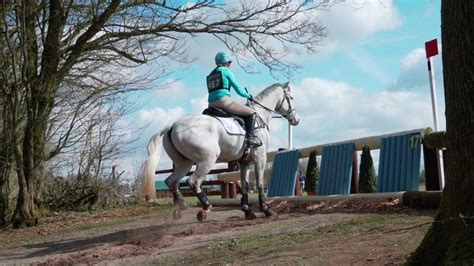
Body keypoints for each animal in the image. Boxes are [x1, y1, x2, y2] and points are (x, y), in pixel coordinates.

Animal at [139, 82, 300, 221]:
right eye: (291, 98)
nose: (296, 120)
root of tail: (173, 125)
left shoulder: (245, 162)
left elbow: (245, 185)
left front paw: (248, 211)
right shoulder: (260, 157)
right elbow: (260, 183)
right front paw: (266, 210)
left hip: (183, 164)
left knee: (171, 181)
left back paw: (181, 206)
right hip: (208, 159)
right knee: (193, 181)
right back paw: (205, 208)